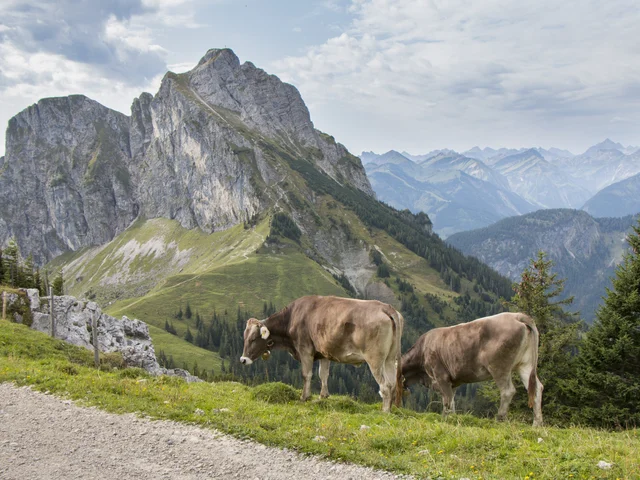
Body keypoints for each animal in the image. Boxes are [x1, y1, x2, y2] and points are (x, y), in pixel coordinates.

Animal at [240, 295, 404, 412]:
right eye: (244, 337)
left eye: (253, 339)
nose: (243, 360)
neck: (292, 318)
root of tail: (386, 307)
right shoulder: (324, 353)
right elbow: (323, 374)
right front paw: (323, 396)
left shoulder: (305, 350)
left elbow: (306, 374)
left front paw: (304, 397)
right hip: (390, 359)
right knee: (392, 384)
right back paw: (391, 409)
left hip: (375, 359)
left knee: (384, 386)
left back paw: (384, 411)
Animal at [402, 312, 543, 426]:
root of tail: (517, 316)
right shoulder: (453, 383)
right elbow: (451, 401)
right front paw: (452, 418)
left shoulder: (441, 376)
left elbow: (447, 401)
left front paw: (447, 419)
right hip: (525, 365)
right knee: (537, 388)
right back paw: (537, 424)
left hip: (499, 367)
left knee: (507, 391)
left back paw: (499, 419)